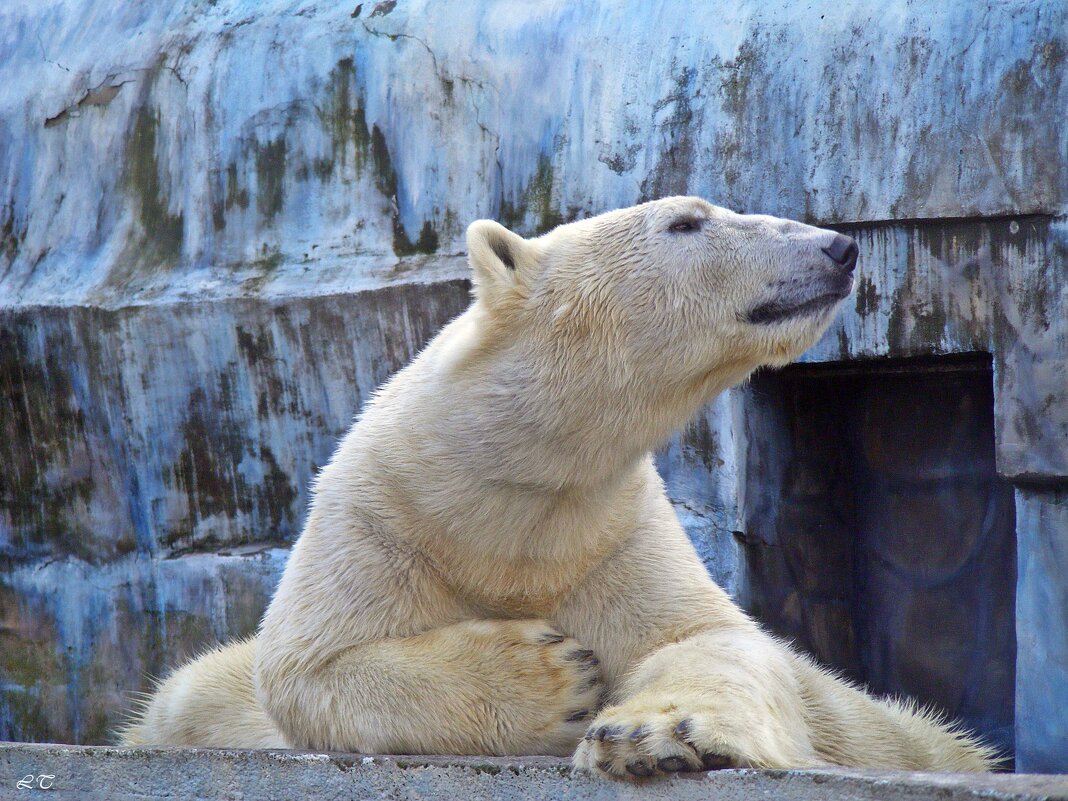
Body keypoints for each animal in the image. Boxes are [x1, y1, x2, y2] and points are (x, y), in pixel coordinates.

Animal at [121, 197, 995, 781]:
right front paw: (556, 676)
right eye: (687, 221)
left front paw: (649, 736)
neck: (506, 496)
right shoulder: (376, 519)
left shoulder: (615, 533)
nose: (838, 247)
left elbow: (709, 641)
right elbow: (310, 668)